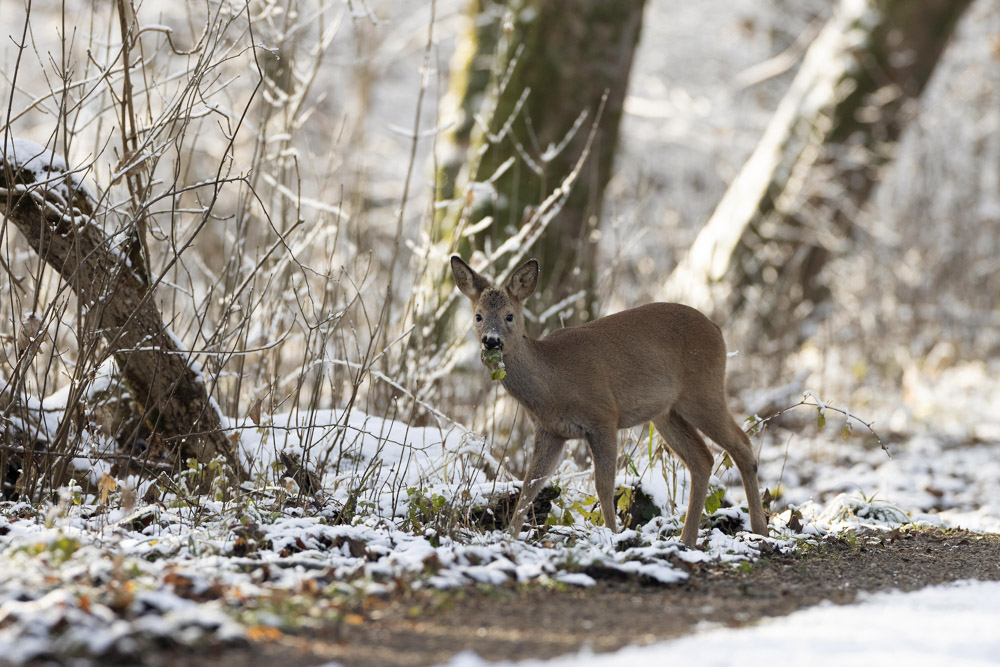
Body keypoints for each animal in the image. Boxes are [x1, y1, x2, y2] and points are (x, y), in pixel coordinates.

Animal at [450, 255, 769, 548]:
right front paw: (509, 538)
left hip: (704, 391)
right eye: (478, 316)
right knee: (702, 459)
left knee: (742, 446)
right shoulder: (550, 431)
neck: (553, 382)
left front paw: (612, 536)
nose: (491, 341)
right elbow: (531, 484)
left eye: (509, 316)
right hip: (666, 413)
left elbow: (603, 485)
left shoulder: (603, 416)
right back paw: (687, 540)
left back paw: (759, 531)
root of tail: (718, 330)